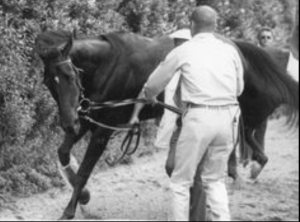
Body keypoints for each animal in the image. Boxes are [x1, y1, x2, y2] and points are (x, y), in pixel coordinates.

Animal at [35, 29, 298, 219]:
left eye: (70, 76)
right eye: (48, 81)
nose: (67, 123)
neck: (109, 66)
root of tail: (231, 42)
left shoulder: (102, 130)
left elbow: (84, 172)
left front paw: (69, 210)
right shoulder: (87, 119)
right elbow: (63, 152)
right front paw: (84, 196)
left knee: (243, 133)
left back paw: (249, 168)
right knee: (243, 134)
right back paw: (249, 167)